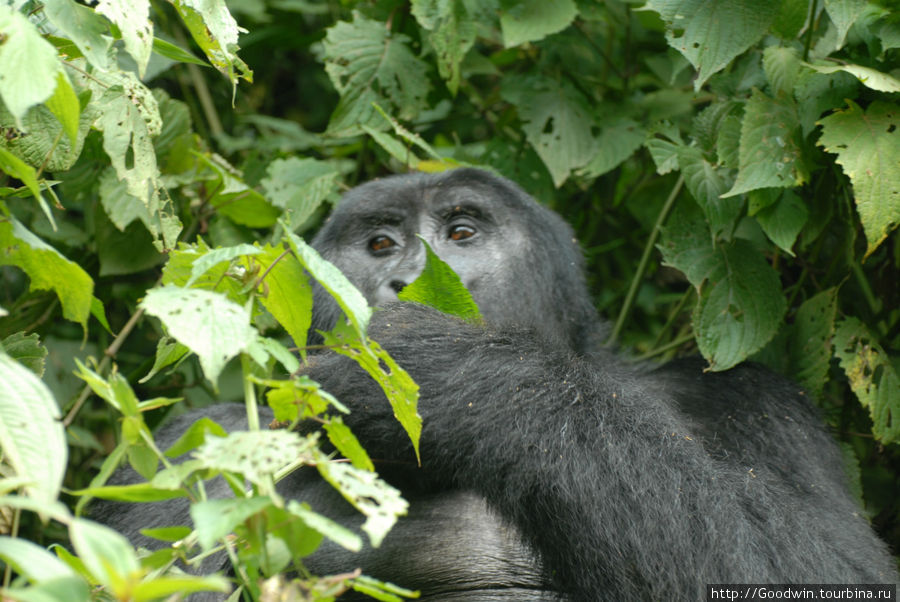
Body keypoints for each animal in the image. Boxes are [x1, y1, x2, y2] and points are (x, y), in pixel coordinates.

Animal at [98, 166, 900, 596]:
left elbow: (828, 570)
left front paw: (460, 379)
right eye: (380, 244)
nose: (408, 279)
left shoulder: (751, 401)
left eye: (462, 233)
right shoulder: (202, 442)